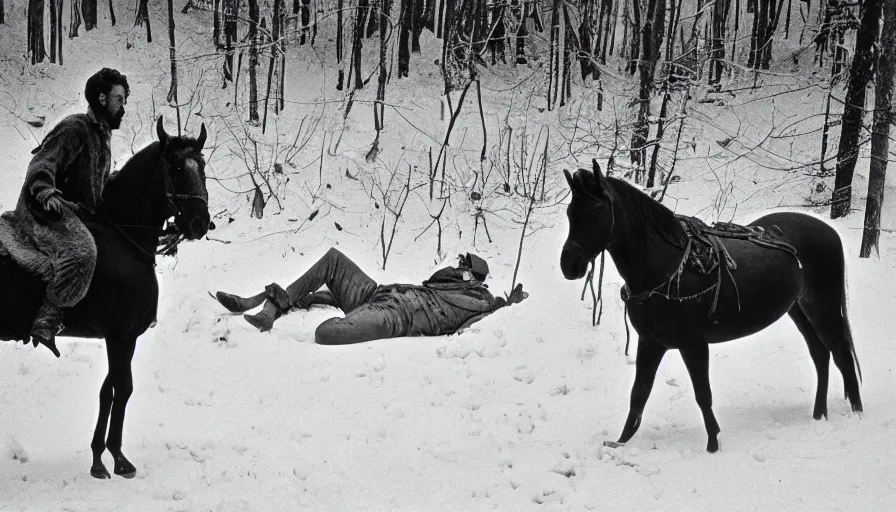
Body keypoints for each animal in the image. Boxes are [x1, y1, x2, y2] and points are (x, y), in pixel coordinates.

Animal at [0, 118, 212, 478]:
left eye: (203, 165)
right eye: (174, 166)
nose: (199, 221)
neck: (125, 238)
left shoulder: (118, 338)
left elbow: (107, 389)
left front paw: (98, 456)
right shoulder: (122, 336)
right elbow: (122, 388)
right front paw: (118, 457)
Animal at [560, 159, 860, 452]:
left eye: (595, 213)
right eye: (570, 213)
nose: (569, 266)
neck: (667, 269)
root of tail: (829, 232)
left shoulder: (693, 344)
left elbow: (702, 394)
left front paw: (713, 443)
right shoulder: (650, 342)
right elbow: (639, 393)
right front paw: (621, 442)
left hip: (823, 307)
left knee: (841, 355)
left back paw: (856, 413)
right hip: (799, 309)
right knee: (821, 355)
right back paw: (819, 414)